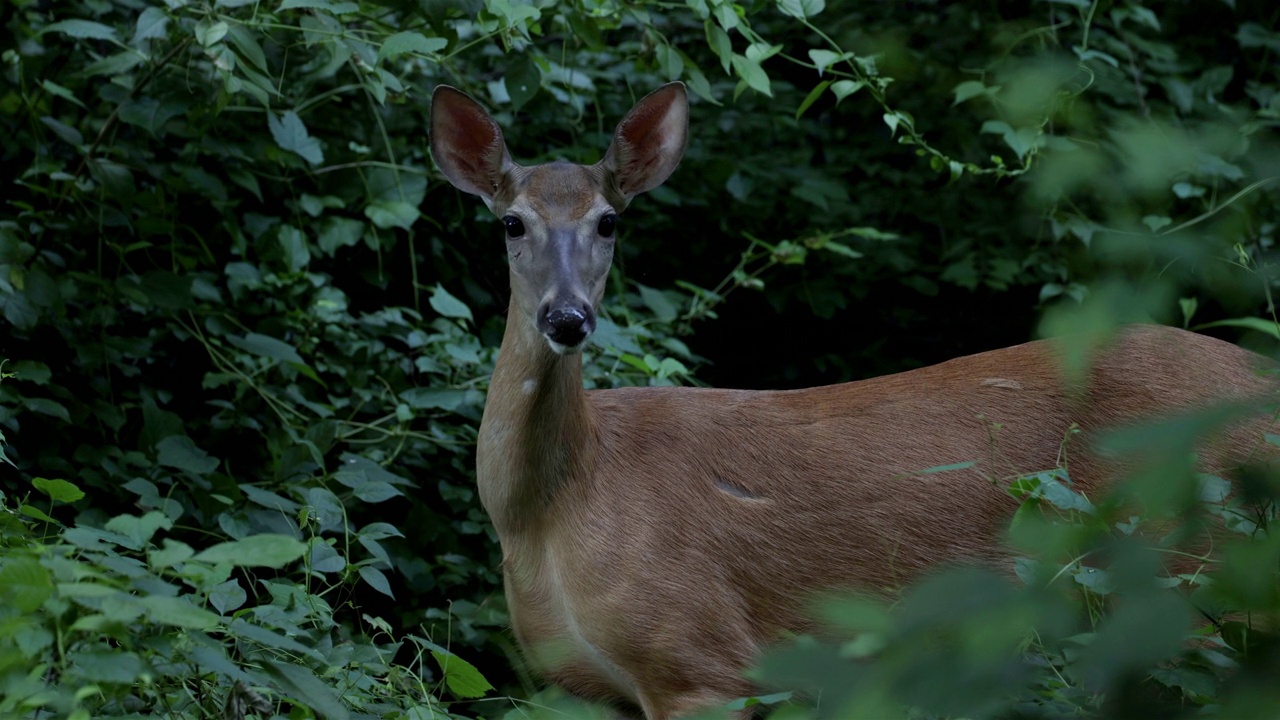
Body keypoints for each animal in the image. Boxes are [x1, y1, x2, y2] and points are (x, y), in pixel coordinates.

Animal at [432, 83, 1280, 717]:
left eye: (609, 221)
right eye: (512, 222)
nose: (567, 317)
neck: (553, 506)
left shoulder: (700, 657)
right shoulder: (586, 687)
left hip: (1205, 570)